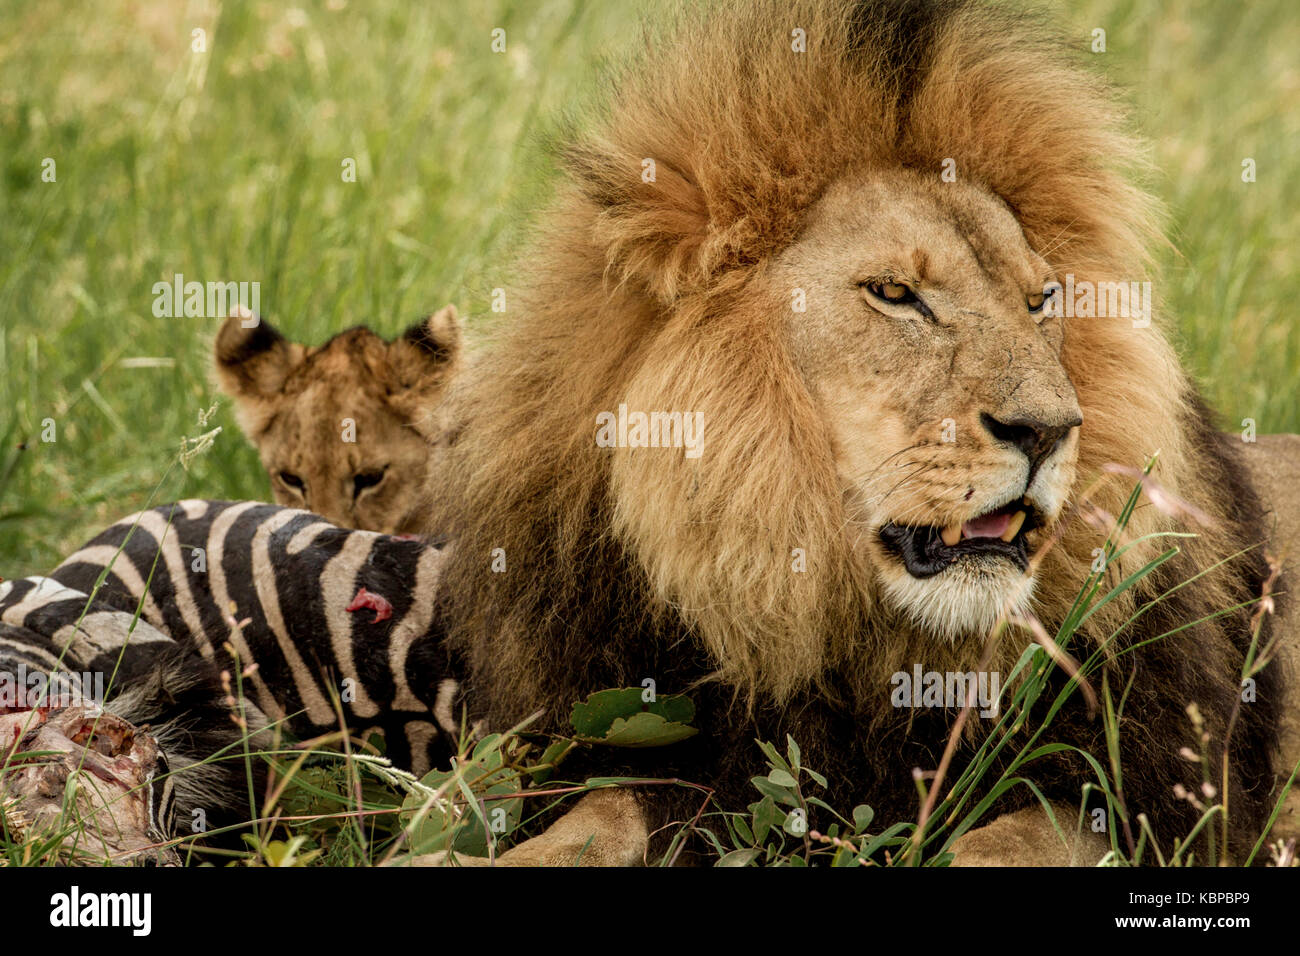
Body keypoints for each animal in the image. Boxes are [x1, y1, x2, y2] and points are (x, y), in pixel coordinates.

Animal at [431, 0, 1294, 868]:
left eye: (1042, 300)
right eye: (894, 293)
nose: (1050, 430)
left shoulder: (1151, 800)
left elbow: (1004, 843)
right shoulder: (645, 748)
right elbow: (594, 820)